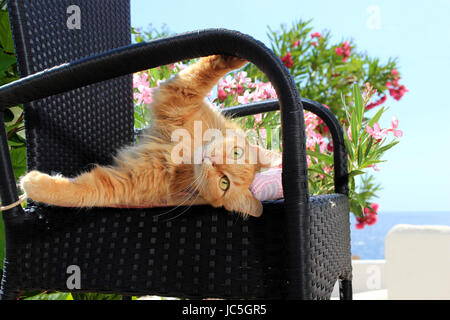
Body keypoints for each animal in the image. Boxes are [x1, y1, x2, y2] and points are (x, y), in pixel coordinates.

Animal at [22, 55, 282, 218]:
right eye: (237, 152)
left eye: (224, 183)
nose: (213, 160)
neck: (186, 155)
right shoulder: (181, 95)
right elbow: (204, 72)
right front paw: (232, 59)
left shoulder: (126, 183)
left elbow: (81, 194)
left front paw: (34, 185)